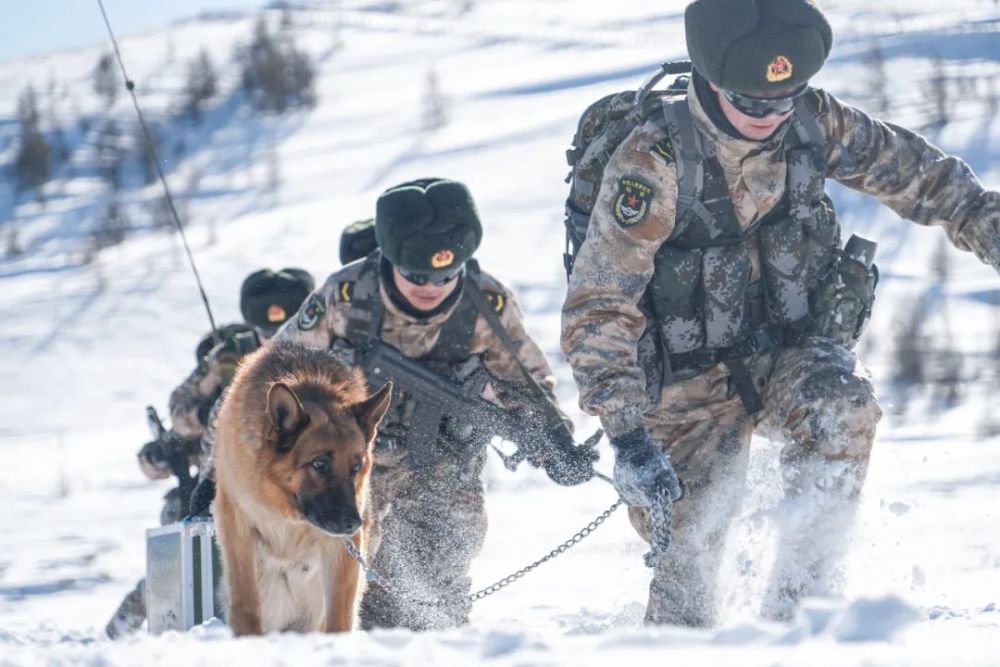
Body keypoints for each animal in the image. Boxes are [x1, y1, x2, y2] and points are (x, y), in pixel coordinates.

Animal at [214, 340, 390, 636]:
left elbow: (340, 617)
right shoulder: (237, 525)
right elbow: (245, 601)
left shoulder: (341, 551)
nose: (353, 523)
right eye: (319, 464)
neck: (286, 511)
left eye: (356, 467)